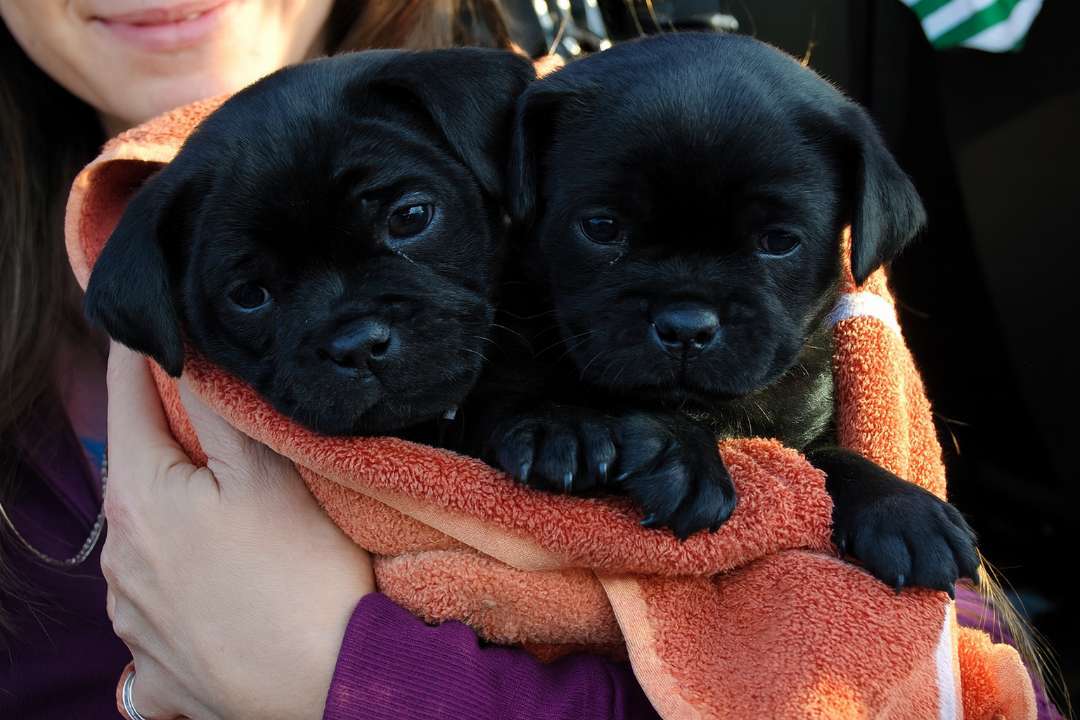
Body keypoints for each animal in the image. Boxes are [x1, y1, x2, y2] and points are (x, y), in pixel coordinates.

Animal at [463, 33, 978, 594]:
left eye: (778, 241)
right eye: (601, 227)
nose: (686, 327)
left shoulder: (798, 430)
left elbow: (830, 458)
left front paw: (902, 508)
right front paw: (576, 428)